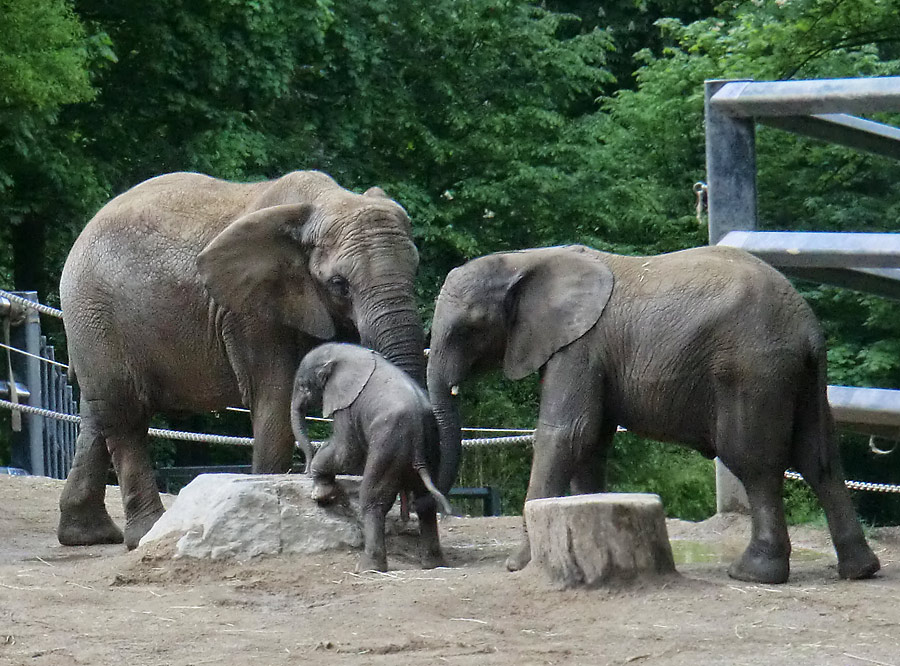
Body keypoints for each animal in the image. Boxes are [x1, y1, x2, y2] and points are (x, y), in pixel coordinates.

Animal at [58, 169, 428, 548]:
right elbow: (275, 400)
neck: (322, 202)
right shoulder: (249, 314)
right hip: (95, 311)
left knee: (98, 412)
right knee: (125, 414)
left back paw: (88, 535)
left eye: (415, 269)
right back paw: (144, 533)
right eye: (340, 284)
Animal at [292, 342, 454, 572]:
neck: (344, 353)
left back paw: (368, 567)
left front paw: (320, 494)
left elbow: (346, 453)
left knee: (373, 500)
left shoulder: (347, 404)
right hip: (431, 446)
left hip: (390, 444)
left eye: (303, 386)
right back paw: (434, 564)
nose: (304, 468)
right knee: (425, 502)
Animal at [428, 243, 880, 580]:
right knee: (819, 460)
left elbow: (565, 434)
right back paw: (859, 570)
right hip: (799, 377)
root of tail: (810, 327)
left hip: (753, 368)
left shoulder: (580, 347)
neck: (525, 259)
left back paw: (753, 574)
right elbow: (591, 443)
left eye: (468, 328)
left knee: (755, 463)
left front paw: (518, 565)